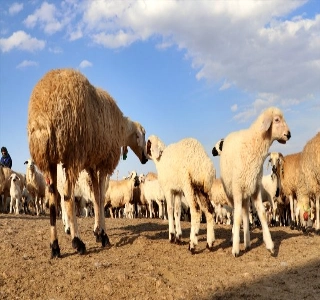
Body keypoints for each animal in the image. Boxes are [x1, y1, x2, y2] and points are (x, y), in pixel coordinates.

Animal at [27, 68, 148, 258]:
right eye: (143, 135)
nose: (145, 159)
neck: (121, 129)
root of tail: (43, 114)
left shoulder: (92, 164)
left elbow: (97, 197)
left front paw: (98, 232)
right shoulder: (104, 163)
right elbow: (101, 197)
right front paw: (102, 235)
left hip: (48, 159)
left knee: (53, 200)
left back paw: (55, 246)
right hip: (72, 154)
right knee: (67, 197)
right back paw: (77, 241)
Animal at [212, 106, 290, 256]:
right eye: (277, 119)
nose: (289, 134)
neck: (253, 145)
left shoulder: (255, 188)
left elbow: (262, 214)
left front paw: (270, 245)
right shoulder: (237, 189)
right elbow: (236, 218)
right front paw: (236, 249)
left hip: (246, 192)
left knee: (245, 213)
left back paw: (247, 242)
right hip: (231, 192)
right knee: (236, 214)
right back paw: (234, 239)